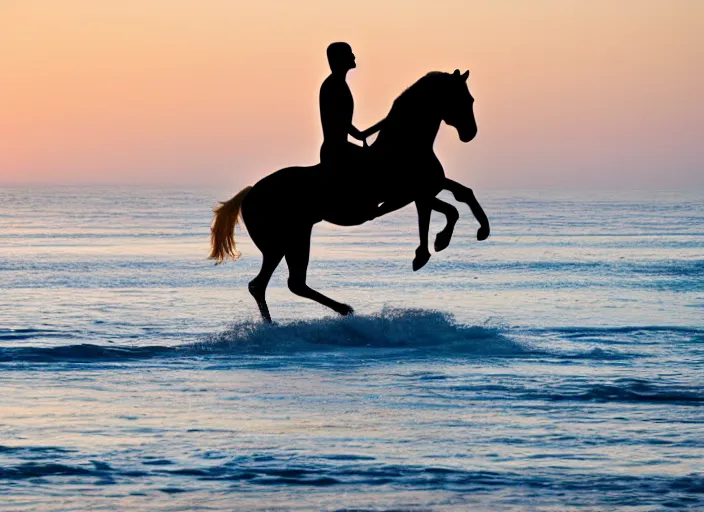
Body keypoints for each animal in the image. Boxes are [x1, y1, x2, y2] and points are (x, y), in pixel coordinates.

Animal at [210, 69, 490, 322]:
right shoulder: (412, 193)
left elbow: (462, 196)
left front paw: (478, 232)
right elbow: (442, 211)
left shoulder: (428, 187)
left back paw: (339, 310)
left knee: (288, 283)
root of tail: (249, 195)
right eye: (463, 99)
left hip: (295, 237)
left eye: (471, 99)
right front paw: (431, 248)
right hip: (282, 241)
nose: (470, 133)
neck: (404, 145)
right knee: (265, 284)